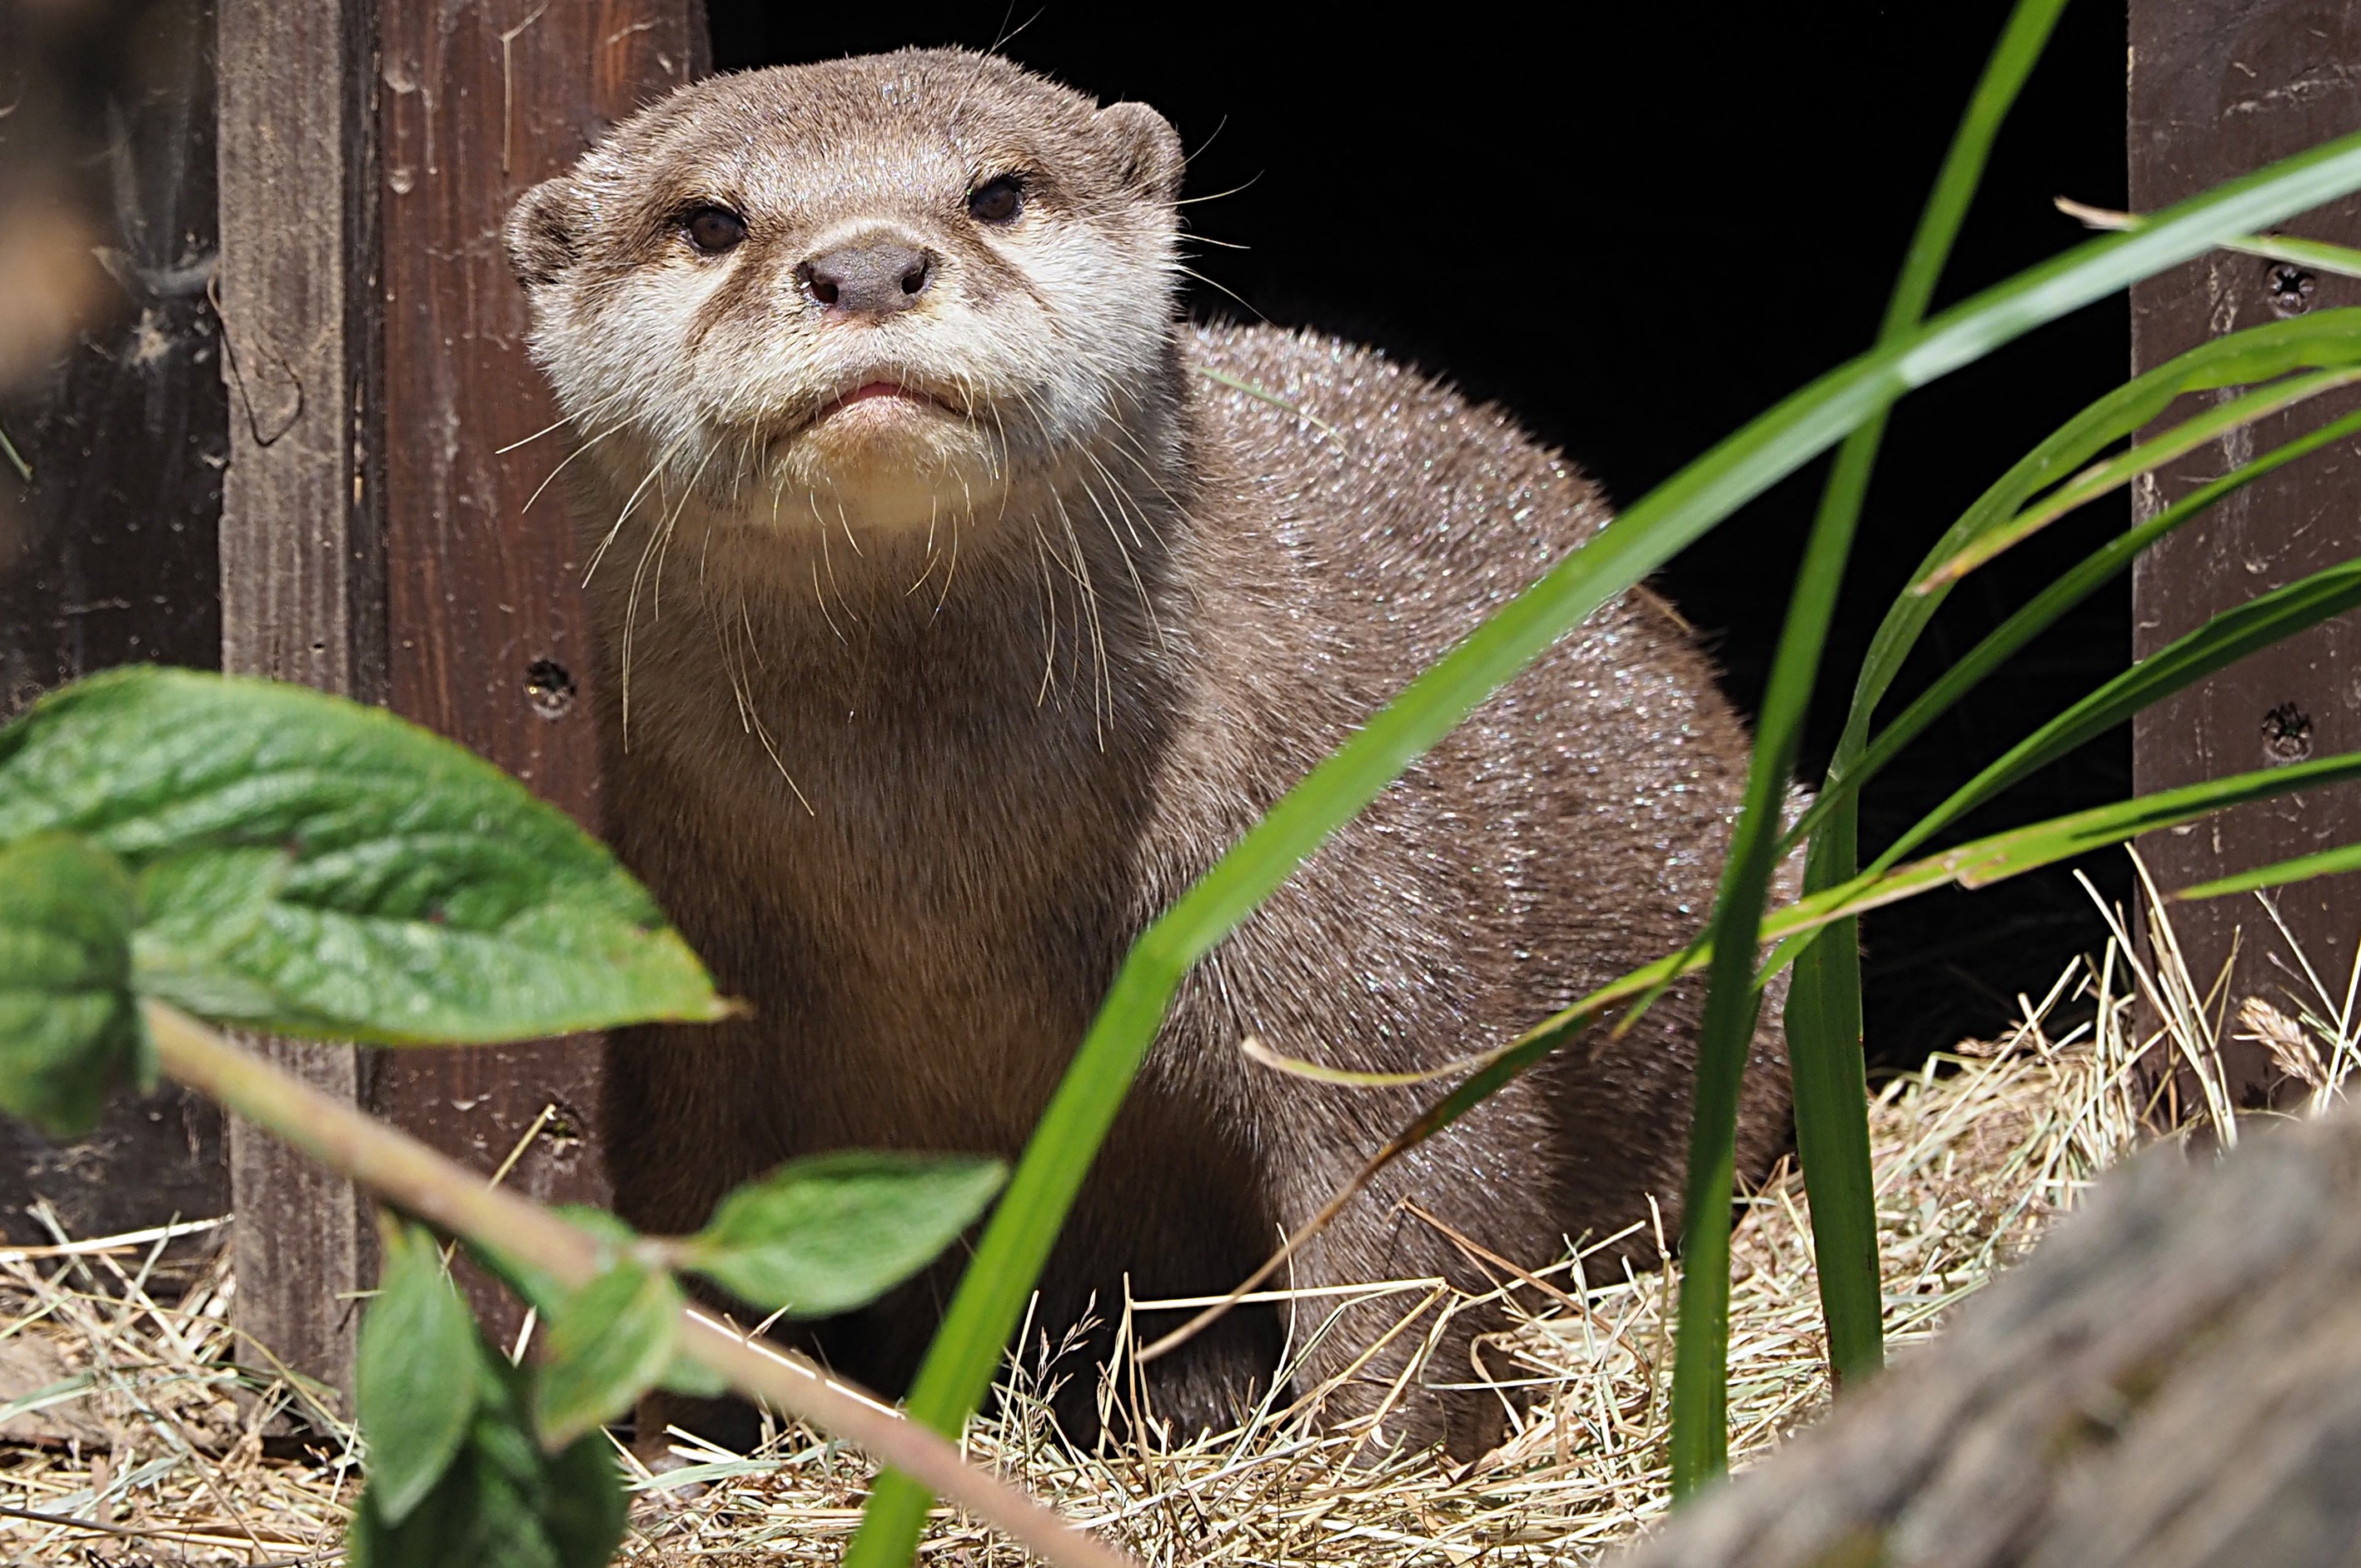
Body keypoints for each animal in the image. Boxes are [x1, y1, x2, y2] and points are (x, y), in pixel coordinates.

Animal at [502, 52, 1785, 1473]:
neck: (937, 897)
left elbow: (1412, 1196)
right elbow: (675, 1222)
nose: (867, 267)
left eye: (996, 191)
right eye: (709, 220)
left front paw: (1374, 1463)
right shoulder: (682, 1001)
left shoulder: (1361, 919)